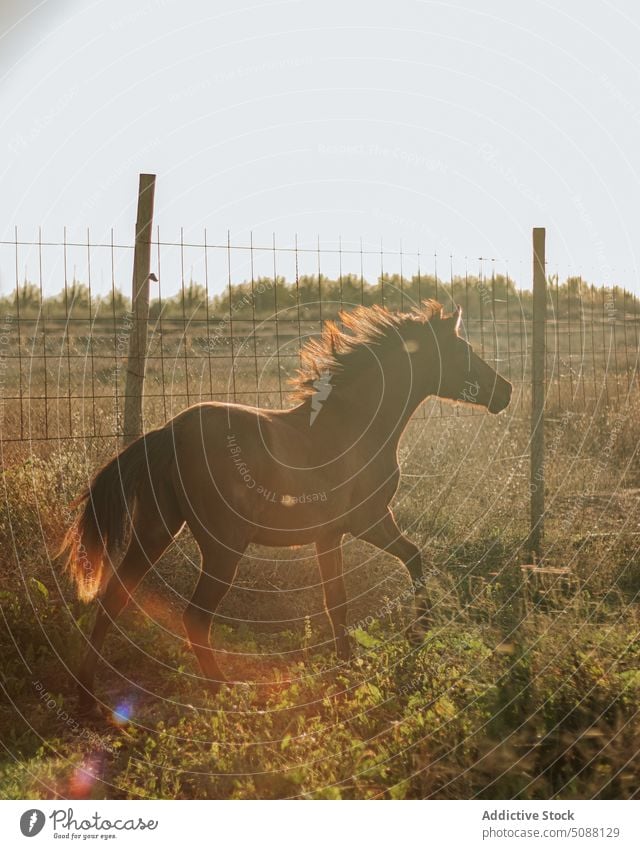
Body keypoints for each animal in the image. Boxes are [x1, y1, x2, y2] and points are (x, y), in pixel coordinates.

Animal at [60, 302, 510, 712]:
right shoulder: (367, 521)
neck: (353, 426)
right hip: (223, 548)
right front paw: (415, 637)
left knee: (114, 599)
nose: (505, 391)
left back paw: (87, 695)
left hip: (156, 530)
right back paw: (225, 691)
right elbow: (404, 564)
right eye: (463, 351)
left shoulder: (333, 533)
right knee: (195, 618)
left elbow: (345, 598)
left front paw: (351, 665)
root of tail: (168, 433)